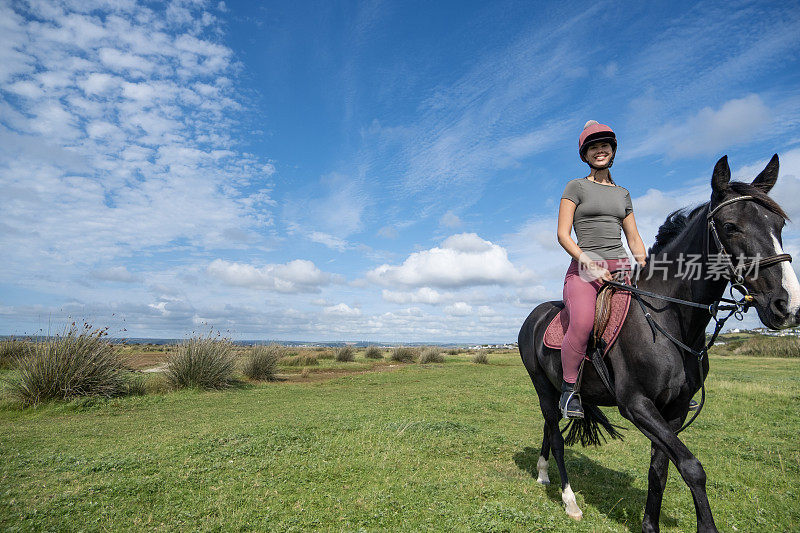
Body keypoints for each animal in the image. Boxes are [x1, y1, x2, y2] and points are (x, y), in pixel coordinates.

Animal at [516, 152, 796, 528]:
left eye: (778, 226)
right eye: (730, 226)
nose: (786, 305)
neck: (668, 320)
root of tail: (535, 315)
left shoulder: (673, 411)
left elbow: (659, 470)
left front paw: (649, 524)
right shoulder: (637, 405)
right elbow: (692, 467)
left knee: (550, 428)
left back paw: (543, 473)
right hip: (542, 386)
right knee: (557, 437)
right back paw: (569, 500)